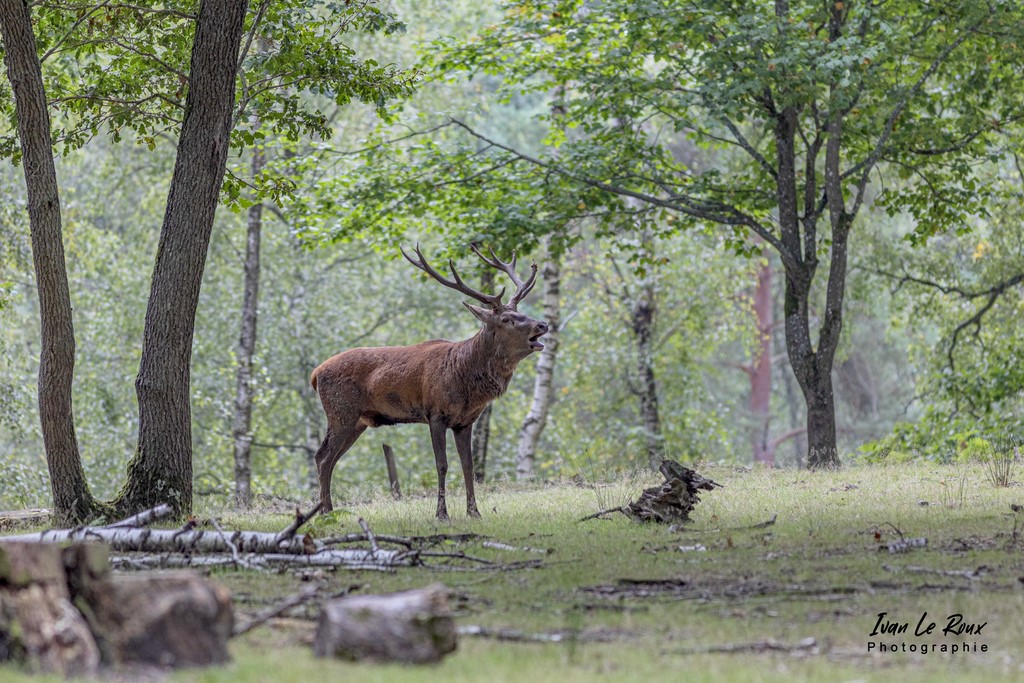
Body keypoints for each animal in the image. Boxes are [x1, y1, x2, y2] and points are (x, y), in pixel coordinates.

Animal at [310, 244, 549, 520]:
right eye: (506, 320)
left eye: (520, 312)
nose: (542, 324)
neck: (465, 379)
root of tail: (315, 374)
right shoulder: (436, 413)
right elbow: (442, 464)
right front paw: (442, 513)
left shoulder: (465, 421)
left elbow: (468, 466)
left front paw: (474, 512)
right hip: (341, 412)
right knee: (324, 457)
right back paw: (326, 513)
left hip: (357, 420)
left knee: (326, 458)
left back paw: (327, 511)